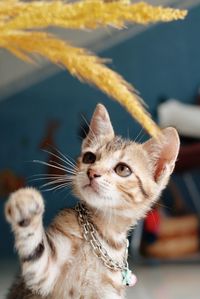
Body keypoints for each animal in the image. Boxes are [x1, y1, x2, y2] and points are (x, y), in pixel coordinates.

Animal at [4, 103, 180, 299]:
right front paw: (25, 203)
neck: (101, 234)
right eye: (90, 158)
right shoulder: (44, 274)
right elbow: (35, 251)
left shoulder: (109, 291)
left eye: (122, 169)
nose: (92, 172)